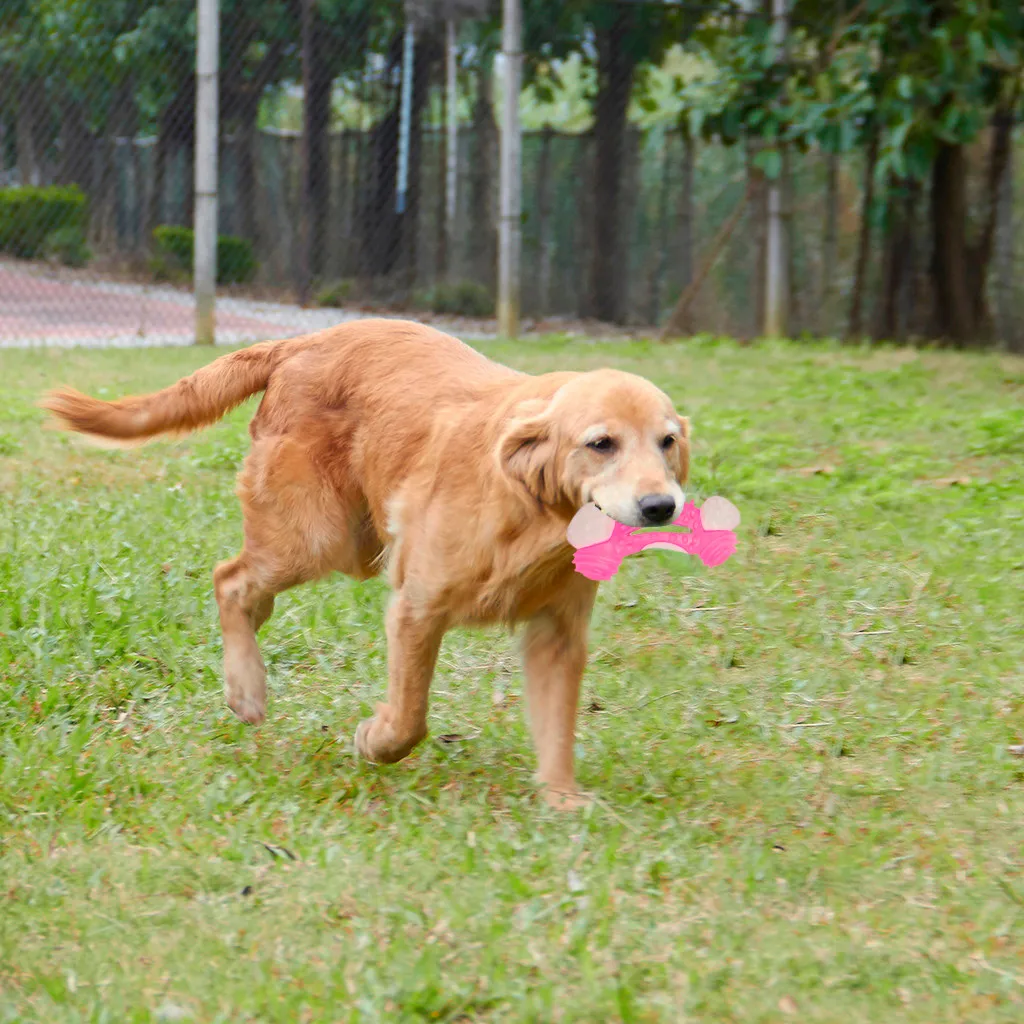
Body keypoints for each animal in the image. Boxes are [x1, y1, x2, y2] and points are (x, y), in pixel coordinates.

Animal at [44, 319, 692, 806]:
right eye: (600, 443)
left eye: (667, 442)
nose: (662, 506)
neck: (533, 509)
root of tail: (301, 342)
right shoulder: (417, 607)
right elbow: (410, 717)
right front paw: (375, 741)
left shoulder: (557, 633)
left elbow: (557, 724)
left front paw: (561, 798)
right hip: (316, 536)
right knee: (229, 579)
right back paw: (246, 688)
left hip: (347, 543)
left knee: (249, 593)